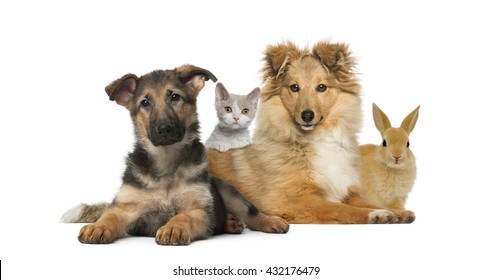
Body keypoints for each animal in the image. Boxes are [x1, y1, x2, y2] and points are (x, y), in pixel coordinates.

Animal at [68, 65, 288, 245]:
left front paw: (173, 227)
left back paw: (270, 221)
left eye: (174, 97)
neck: (166, 161)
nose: (164, 129)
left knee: (251, 212)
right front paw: (98, 226)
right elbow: (109, 216)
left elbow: (183, 216)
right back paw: (230, 223)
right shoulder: (125, 206)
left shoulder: (198, 208)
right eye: (145, 103)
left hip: (228, 191)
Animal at [207, 41, 416, 224]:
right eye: (294, 87)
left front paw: (397, 212)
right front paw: (375, 214)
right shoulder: (292, 201)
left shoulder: (348, 192)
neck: (317, 139)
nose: (307, 115)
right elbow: (340, 208)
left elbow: (367, 202)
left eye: (321, 87)